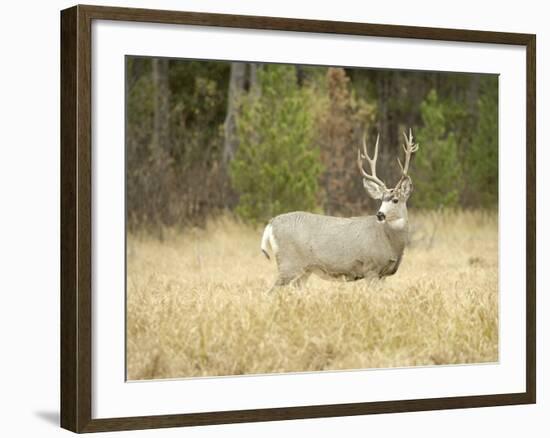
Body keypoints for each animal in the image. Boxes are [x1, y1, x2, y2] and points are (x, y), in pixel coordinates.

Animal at [260, 128, 420, 292]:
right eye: (381, 200)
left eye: (395, 200)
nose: (380, 214)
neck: (390, 241)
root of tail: (272, 223)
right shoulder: (371, 267)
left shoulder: (384, 275)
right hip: (288, 263)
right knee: (270, 292)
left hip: (304, 270)